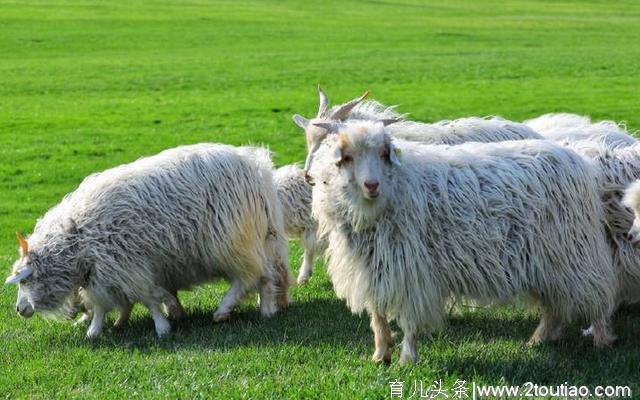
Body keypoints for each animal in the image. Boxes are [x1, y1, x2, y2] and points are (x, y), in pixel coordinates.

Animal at [6, 144, 292, 338]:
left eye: (25, 280)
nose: (19, 310)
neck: (77, 237)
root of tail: (257, 167)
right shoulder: (115, 271)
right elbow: (128, 300)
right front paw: (118, 323)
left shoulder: (123, 266)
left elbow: (133, 299)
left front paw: (158, 327)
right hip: (262, 239)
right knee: (266, 275)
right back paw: (266, 308)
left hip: (231, 242)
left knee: (248, 277)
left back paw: (227, 311)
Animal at [310, 120, 620, 364]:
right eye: (348, 157)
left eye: (384, 153)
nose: (371, 185)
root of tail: (579, 161)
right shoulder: (374, 267)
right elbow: (378, 316)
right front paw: (380, 354)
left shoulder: (412, 270)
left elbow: (409, 319)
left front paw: (407, 358)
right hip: (549, 261)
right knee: (554, 306)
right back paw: (539, 338)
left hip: (574, 252)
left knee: (597, 294)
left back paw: (601, 339)